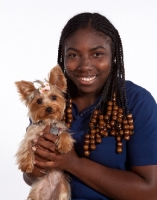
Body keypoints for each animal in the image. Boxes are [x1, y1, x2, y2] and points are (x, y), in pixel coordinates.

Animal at [14, 65, 75, 199]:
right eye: (38, 101)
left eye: (54, 97)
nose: (49, 108)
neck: (47, 122)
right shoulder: (31, 134)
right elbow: (26, 146)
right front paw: (26, 164)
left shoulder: (59, 127)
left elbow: (64, 133)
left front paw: (64, 145)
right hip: (36, 192)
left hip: (63, 191)